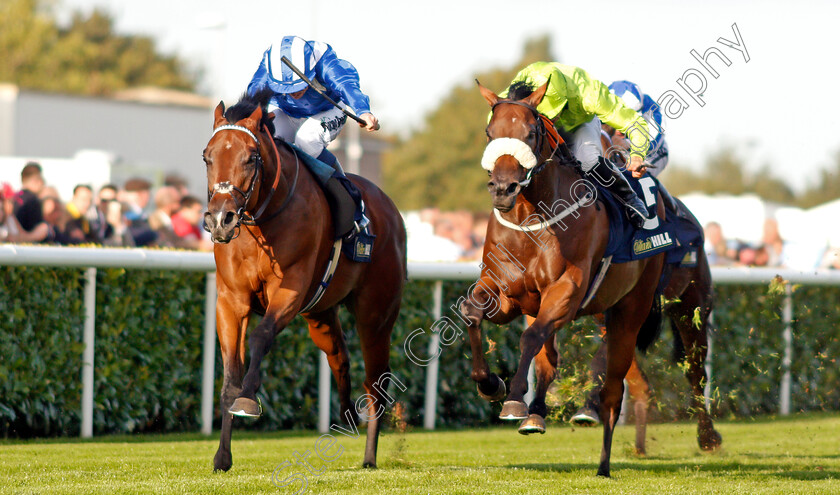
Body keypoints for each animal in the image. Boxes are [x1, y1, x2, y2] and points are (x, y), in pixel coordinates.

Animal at [200, 91, 404, 474]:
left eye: (251, 158)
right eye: (207, 157)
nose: (221, 219)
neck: (263, 218)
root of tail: (392, 210)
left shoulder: (290, 289)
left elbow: (261, 336)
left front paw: (248, 400)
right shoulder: (231, 299)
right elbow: (230, 374)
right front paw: (222, 456)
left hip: (376, 314)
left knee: (375, 382)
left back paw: (369, 456)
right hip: (320, 314)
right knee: (340, 357)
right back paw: (344, 415)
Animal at [460, 80, 720, 476]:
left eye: (531, 132)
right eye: (490, 133)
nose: (502, 190)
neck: (532, 217)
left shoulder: (568, 291)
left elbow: (530, 338)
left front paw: (515, 399)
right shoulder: (508, 294)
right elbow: (474, 314)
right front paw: (490, 384)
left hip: (667, 307)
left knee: (673, 374)